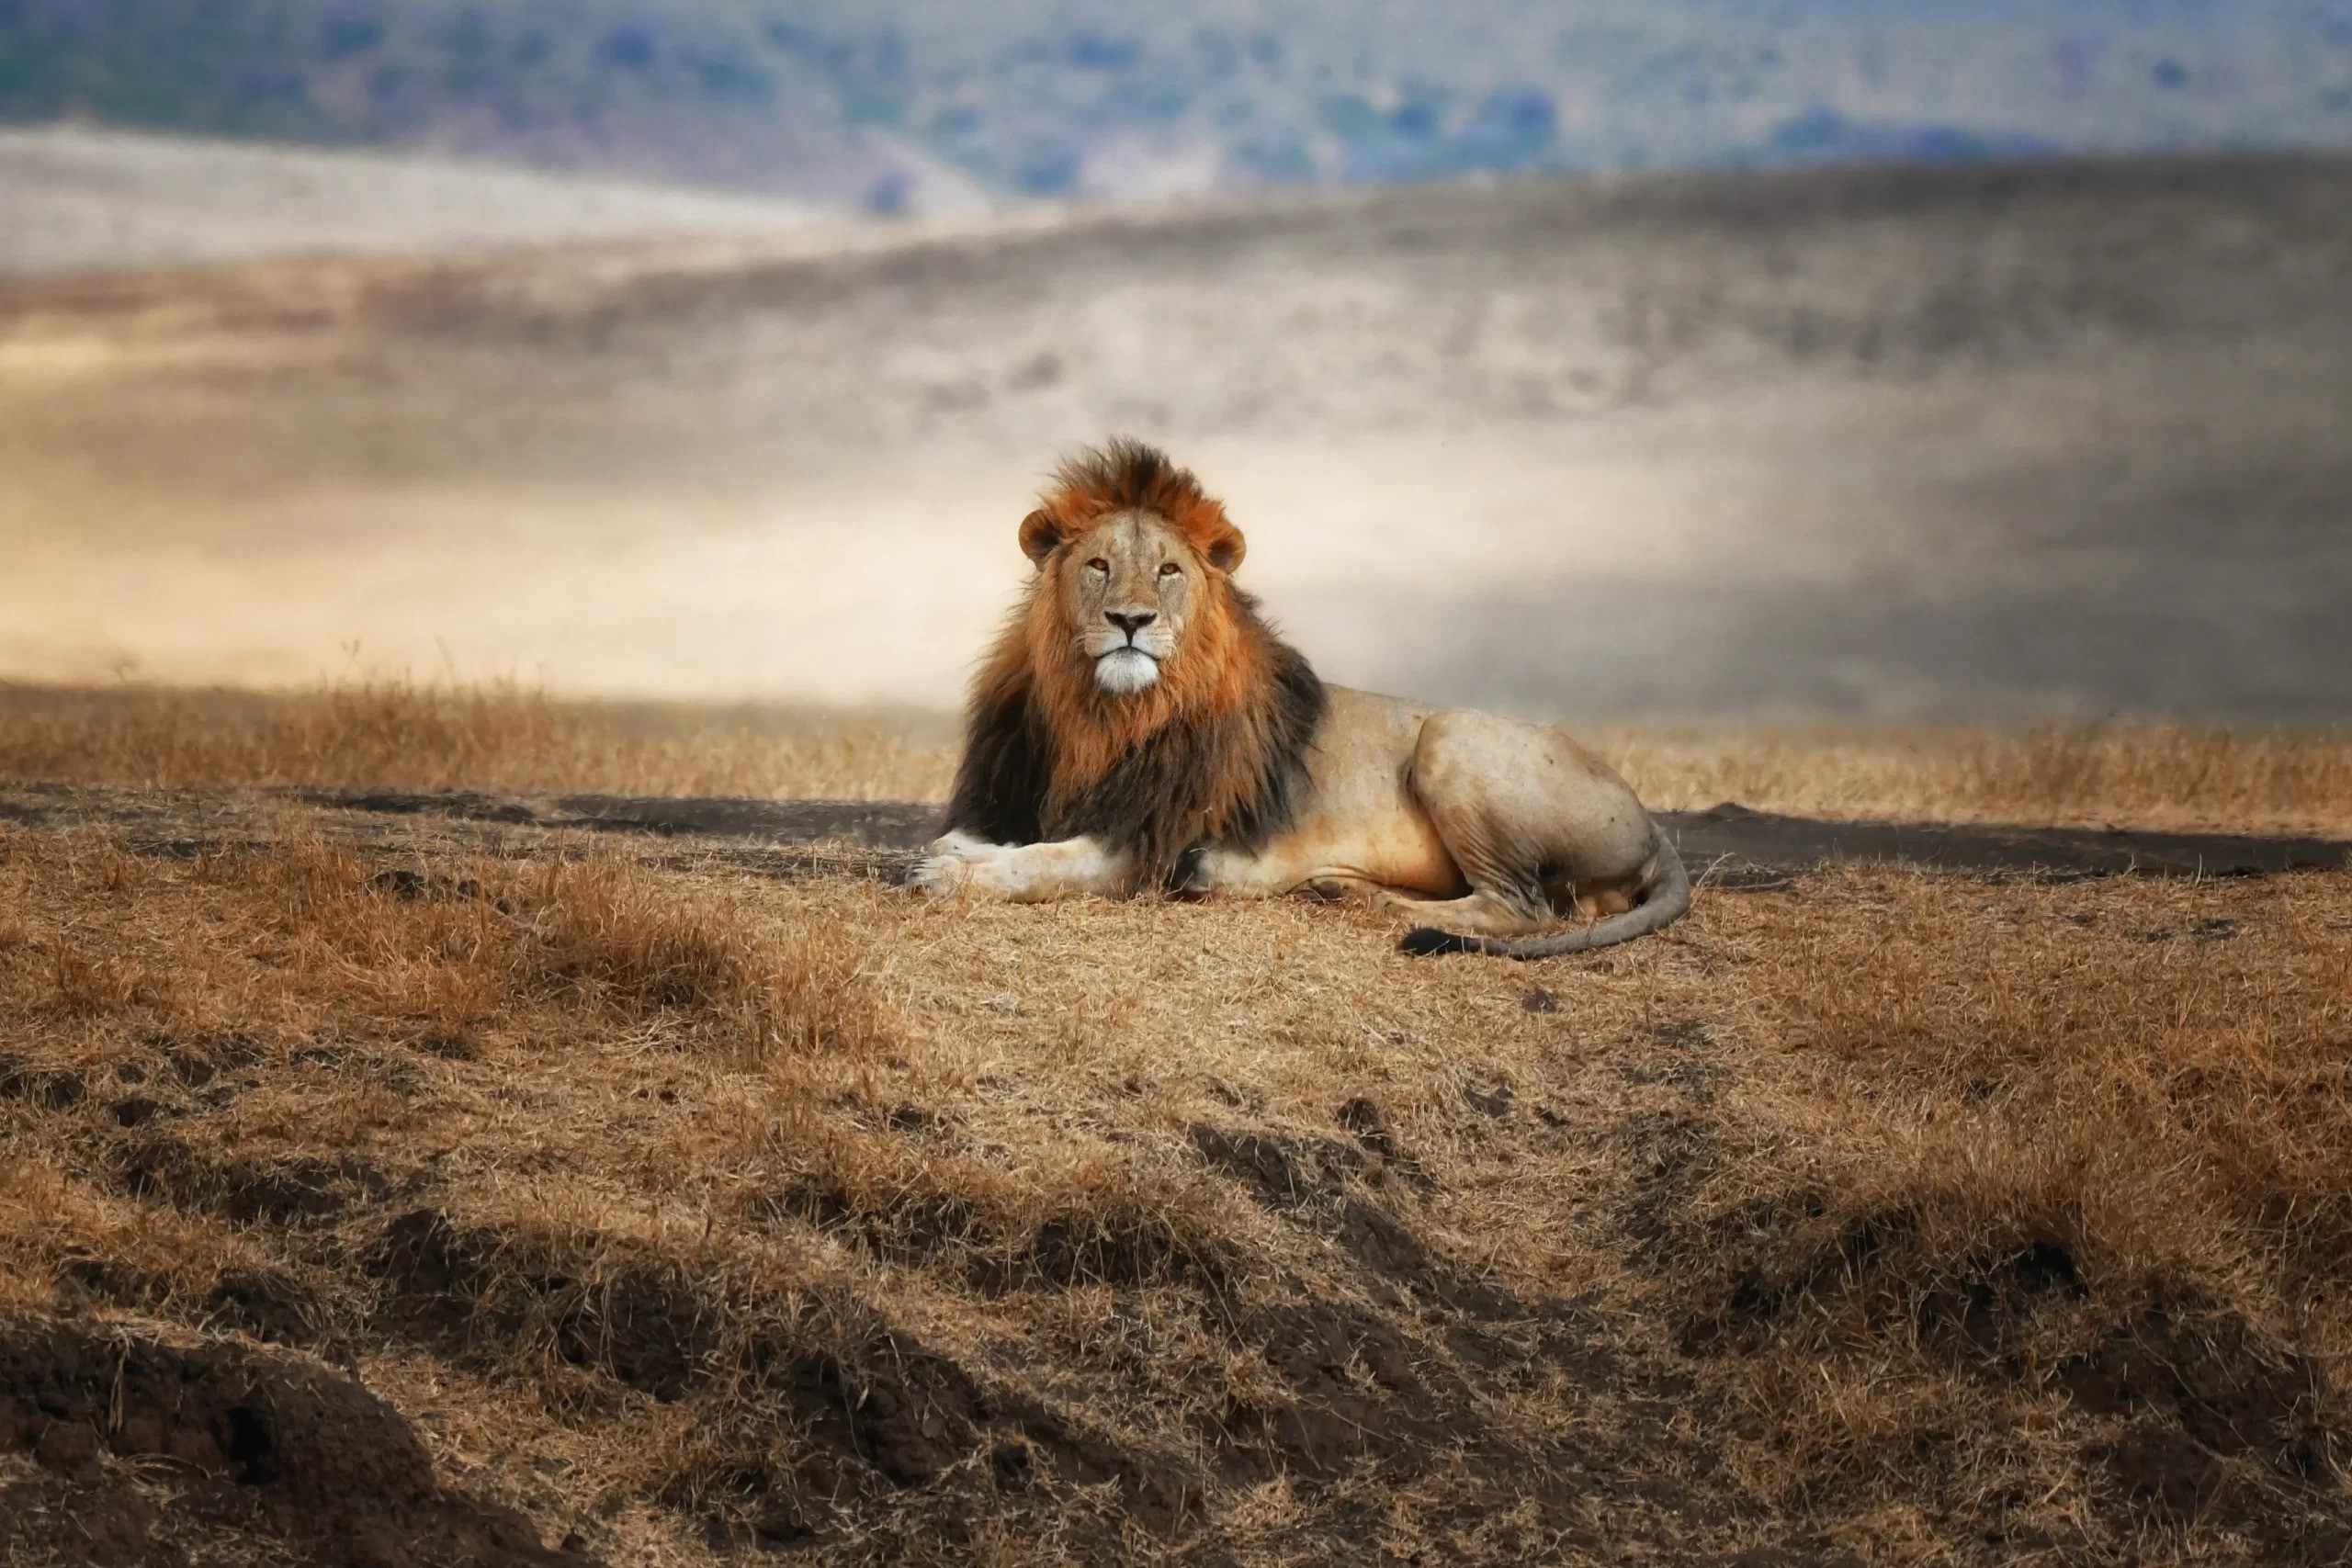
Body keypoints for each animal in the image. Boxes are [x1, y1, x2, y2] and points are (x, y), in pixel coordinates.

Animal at [912, 439, 1691, 958]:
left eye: (1167, 569)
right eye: (1098, 564)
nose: (1130, 619)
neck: (1104, 716)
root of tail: (1652, 825)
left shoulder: (1150, 846)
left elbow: (1042, 862)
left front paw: (949, 873)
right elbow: (1006, 837)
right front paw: (955, 848)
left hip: (1450, 736)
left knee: (1524, 909)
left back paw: (1367, 898)